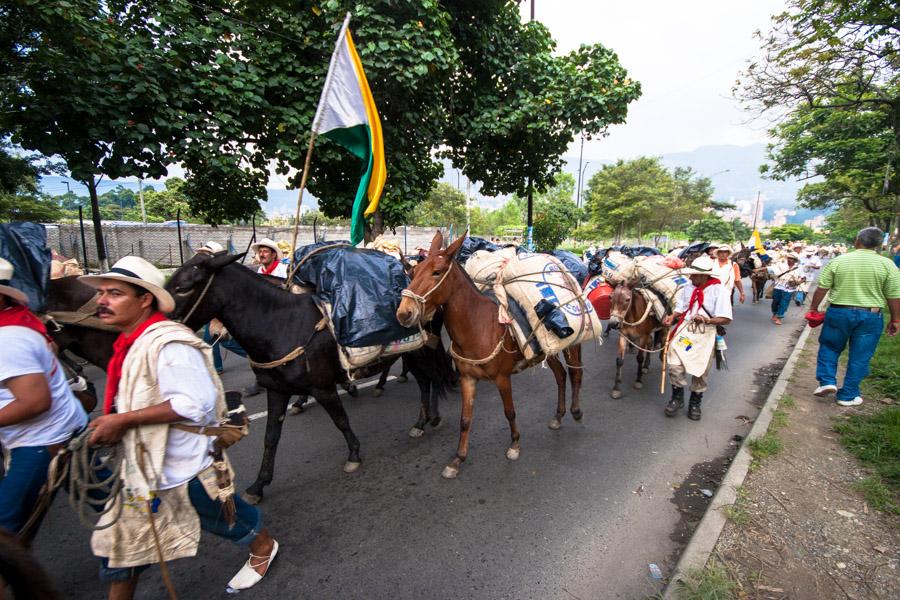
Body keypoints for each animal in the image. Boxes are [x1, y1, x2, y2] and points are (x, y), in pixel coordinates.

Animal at [396, 232, 584, 480]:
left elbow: (510, 412)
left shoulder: (503, 378)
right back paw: (558, 416)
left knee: (576, 374)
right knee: (561, 376)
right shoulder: (467, 378)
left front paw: (514, 445)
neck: (479, 325)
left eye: (436, 272)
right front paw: (457, 459)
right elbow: (465, 420)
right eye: (413, 272)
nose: (404, 313)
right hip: (548, 349)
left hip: (571, 344)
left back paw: (576, 411)